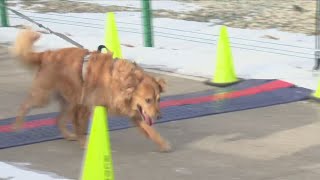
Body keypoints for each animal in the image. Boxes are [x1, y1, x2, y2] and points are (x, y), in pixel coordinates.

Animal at [10, 28, 170, 152]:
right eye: (148, 100)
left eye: (158, 99)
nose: (160, 117)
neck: (117, 81)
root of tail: (46, 54)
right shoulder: (85, 106)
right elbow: (80, 127)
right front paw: (84, 143)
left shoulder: (130, 110)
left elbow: (149, 129)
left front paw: (162, 143)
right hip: (44, 97)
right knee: (24, 106)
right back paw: (17, 127)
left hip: (70, 102)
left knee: (58, 120)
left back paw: (68, 135)